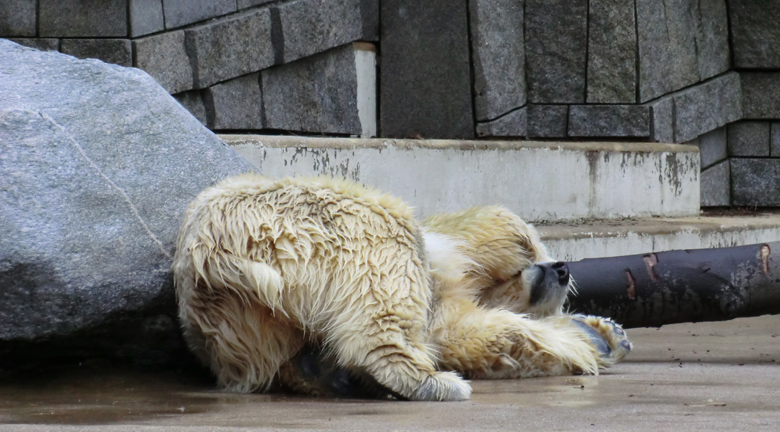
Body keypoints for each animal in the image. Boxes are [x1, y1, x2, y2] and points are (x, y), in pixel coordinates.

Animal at [174, 175, 632, 402]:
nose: (562, 269)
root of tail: (207, 253)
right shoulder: (449, 249)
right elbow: (489, 225)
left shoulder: (452, 317)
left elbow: (476, 335)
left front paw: (605, 335)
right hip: (300, 222)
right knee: (390, 251)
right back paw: (437, 384)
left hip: (243, 326)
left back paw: (326, 372)